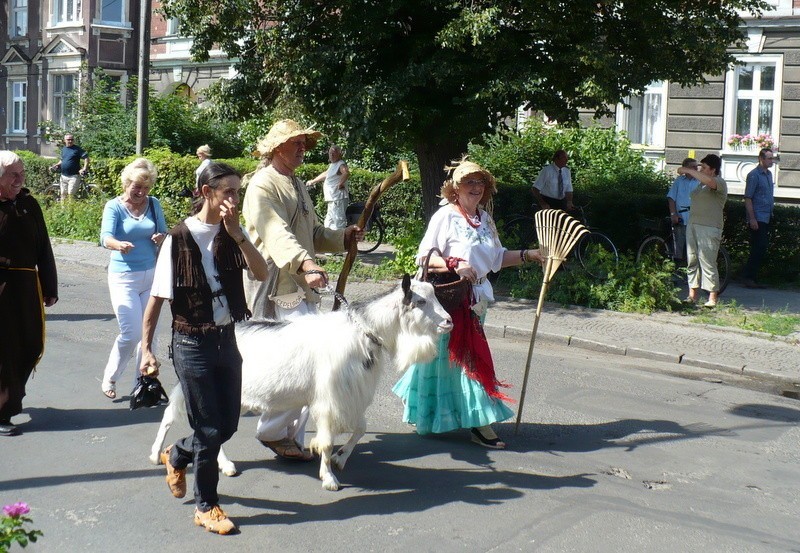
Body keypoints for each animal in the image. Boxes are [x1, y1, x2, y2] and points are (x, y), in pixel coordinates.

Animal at [149, 274, 450, 490]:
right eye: (421, 302)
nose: (448, 322)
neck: (361, 333)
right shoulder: (330, 398)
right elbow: (327, 441)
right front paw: (329, 479)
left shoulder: (351, 395)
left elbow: (361, 429)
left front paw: (340, 459)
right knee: (172, 415)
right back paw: (157, 454)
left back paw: (223, 464)